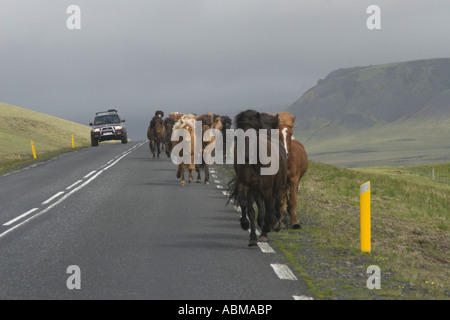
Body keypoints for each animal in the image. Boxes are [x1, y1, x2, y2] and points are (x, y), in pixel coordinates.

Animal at [227, 110, 286, 248]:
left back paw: (272, 224)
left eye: (255, 134)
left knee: (273, 207)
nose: (246, 156)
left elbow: (269, 210)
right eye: (240, 133)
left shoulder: (268, 189)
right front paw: (248, 229)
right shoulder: (246, 186)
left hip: (275, 189)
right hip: (257, 191)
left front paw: (266, 231)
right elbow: (248, 209)